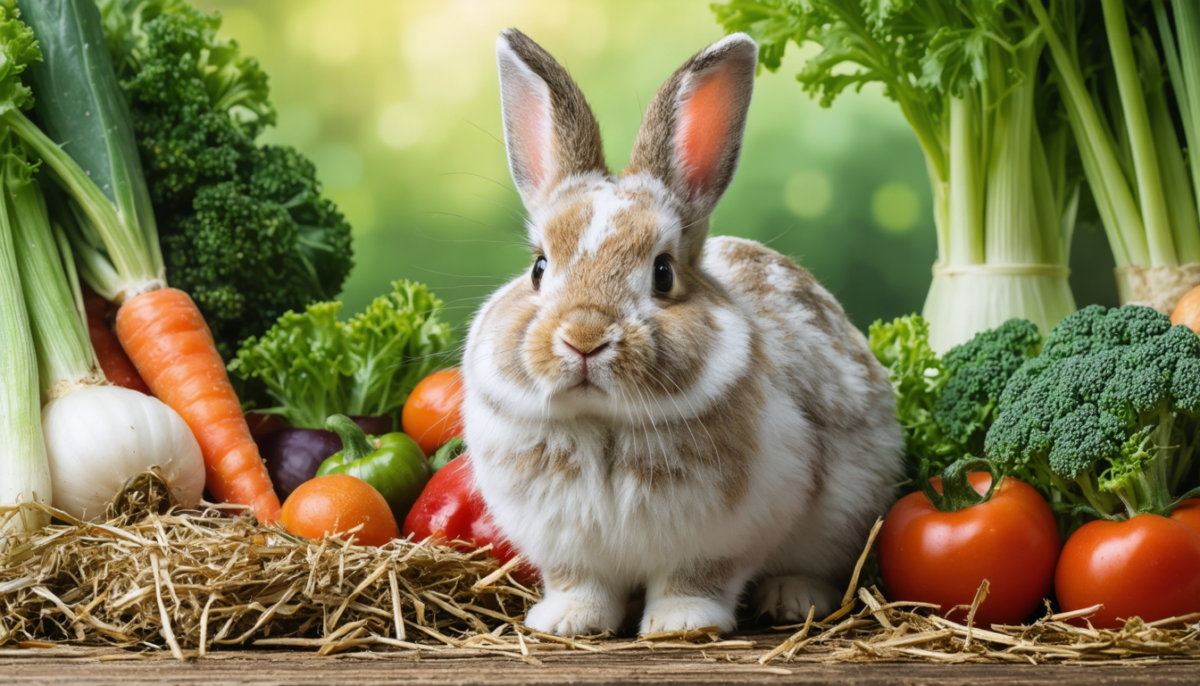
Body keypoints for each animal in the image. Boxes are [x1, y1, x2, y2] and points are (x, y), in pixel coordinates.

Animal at [461, 28, 904, 637]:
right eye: (539, 268)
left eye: (664, 272)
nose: (584, 338)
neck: (603, 423)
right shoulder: (566, 548)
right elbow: (580, 583)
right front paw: (568, 622)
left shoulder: (727, 535)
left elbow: (695, 580)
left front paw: (681, 625)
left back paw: (791, 598)